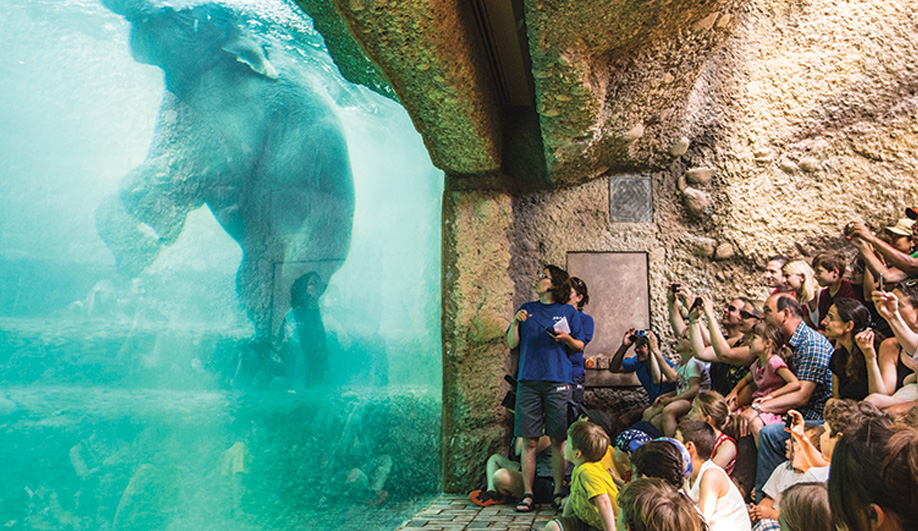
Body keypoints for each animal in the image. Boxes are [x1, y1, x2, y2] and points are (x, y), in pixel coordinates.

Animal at [97, 0, 354, 337]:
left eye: (184, 19)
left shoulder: (237, 107)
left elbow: (188, 171)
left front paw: (140, 251)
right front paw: (140, 250)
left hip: (310, 244)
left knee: (273, 291)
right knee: (258, 288)